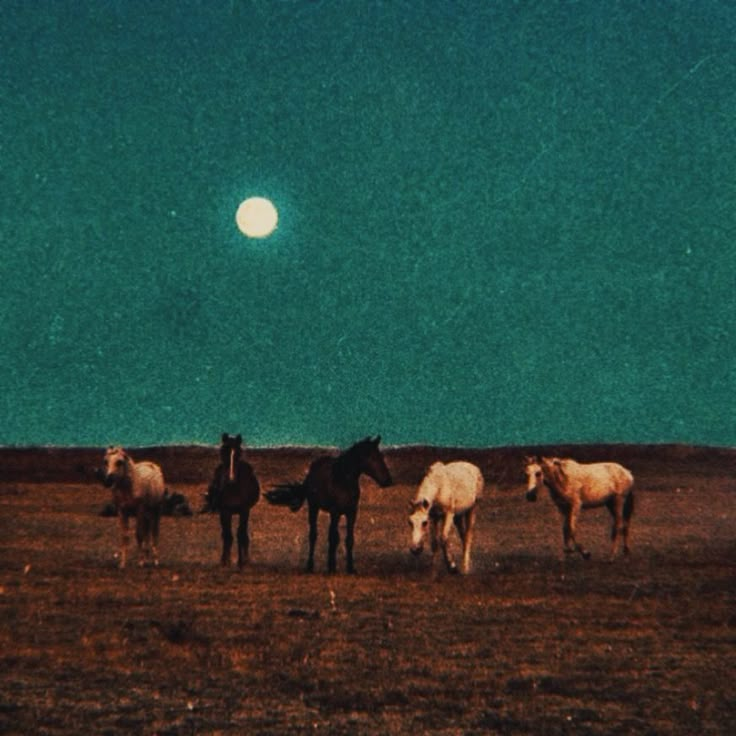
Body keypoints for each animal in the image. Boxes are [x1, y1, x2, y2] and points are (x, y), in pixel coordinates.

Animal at [206, 432, 260, 568]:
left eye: (238, 454)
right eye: (223, 453)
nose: (231, 479)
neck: (233, 489)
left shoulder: (244, 511)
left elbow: (240, 534)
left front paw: (241, 562)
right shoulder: (225, 512)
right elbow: (227, 535)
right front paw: (225, 560)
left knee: (244, 534)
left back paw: (246, 559)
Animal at [264, 436, 392, 576]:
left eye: (381, 456)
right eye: (372, 457)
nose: (388, 480)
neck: (343, 481)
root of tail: (311, 471)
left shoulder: (352, 513)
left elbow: (349, 540)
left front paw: (350, 568)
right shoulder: (335, 512)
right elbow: (334, 538)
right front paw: (332, 567)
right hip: (314, 508)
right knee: (313, 535)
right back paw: (310, 566)